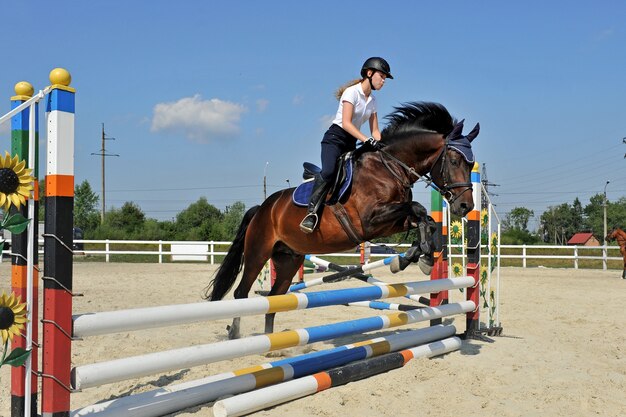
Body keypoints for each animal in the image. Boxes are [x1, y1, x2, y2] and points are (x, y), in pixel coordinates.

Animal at [205, 101, 478, 338]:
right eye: (454, 161)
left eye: (471, 164)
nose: (466, 206)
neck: (389, 167)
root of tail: (263, 208)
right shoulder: (370, 221)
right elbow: (418, 208)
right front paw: (416, 259)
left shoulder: (389, 222)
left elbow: (426, 221)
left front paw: (417, 258)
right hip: (258, 252)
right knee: (241, 293)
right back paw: (236, 336)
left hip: (289, 259)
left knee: (275, 297)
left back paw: (270, 346)